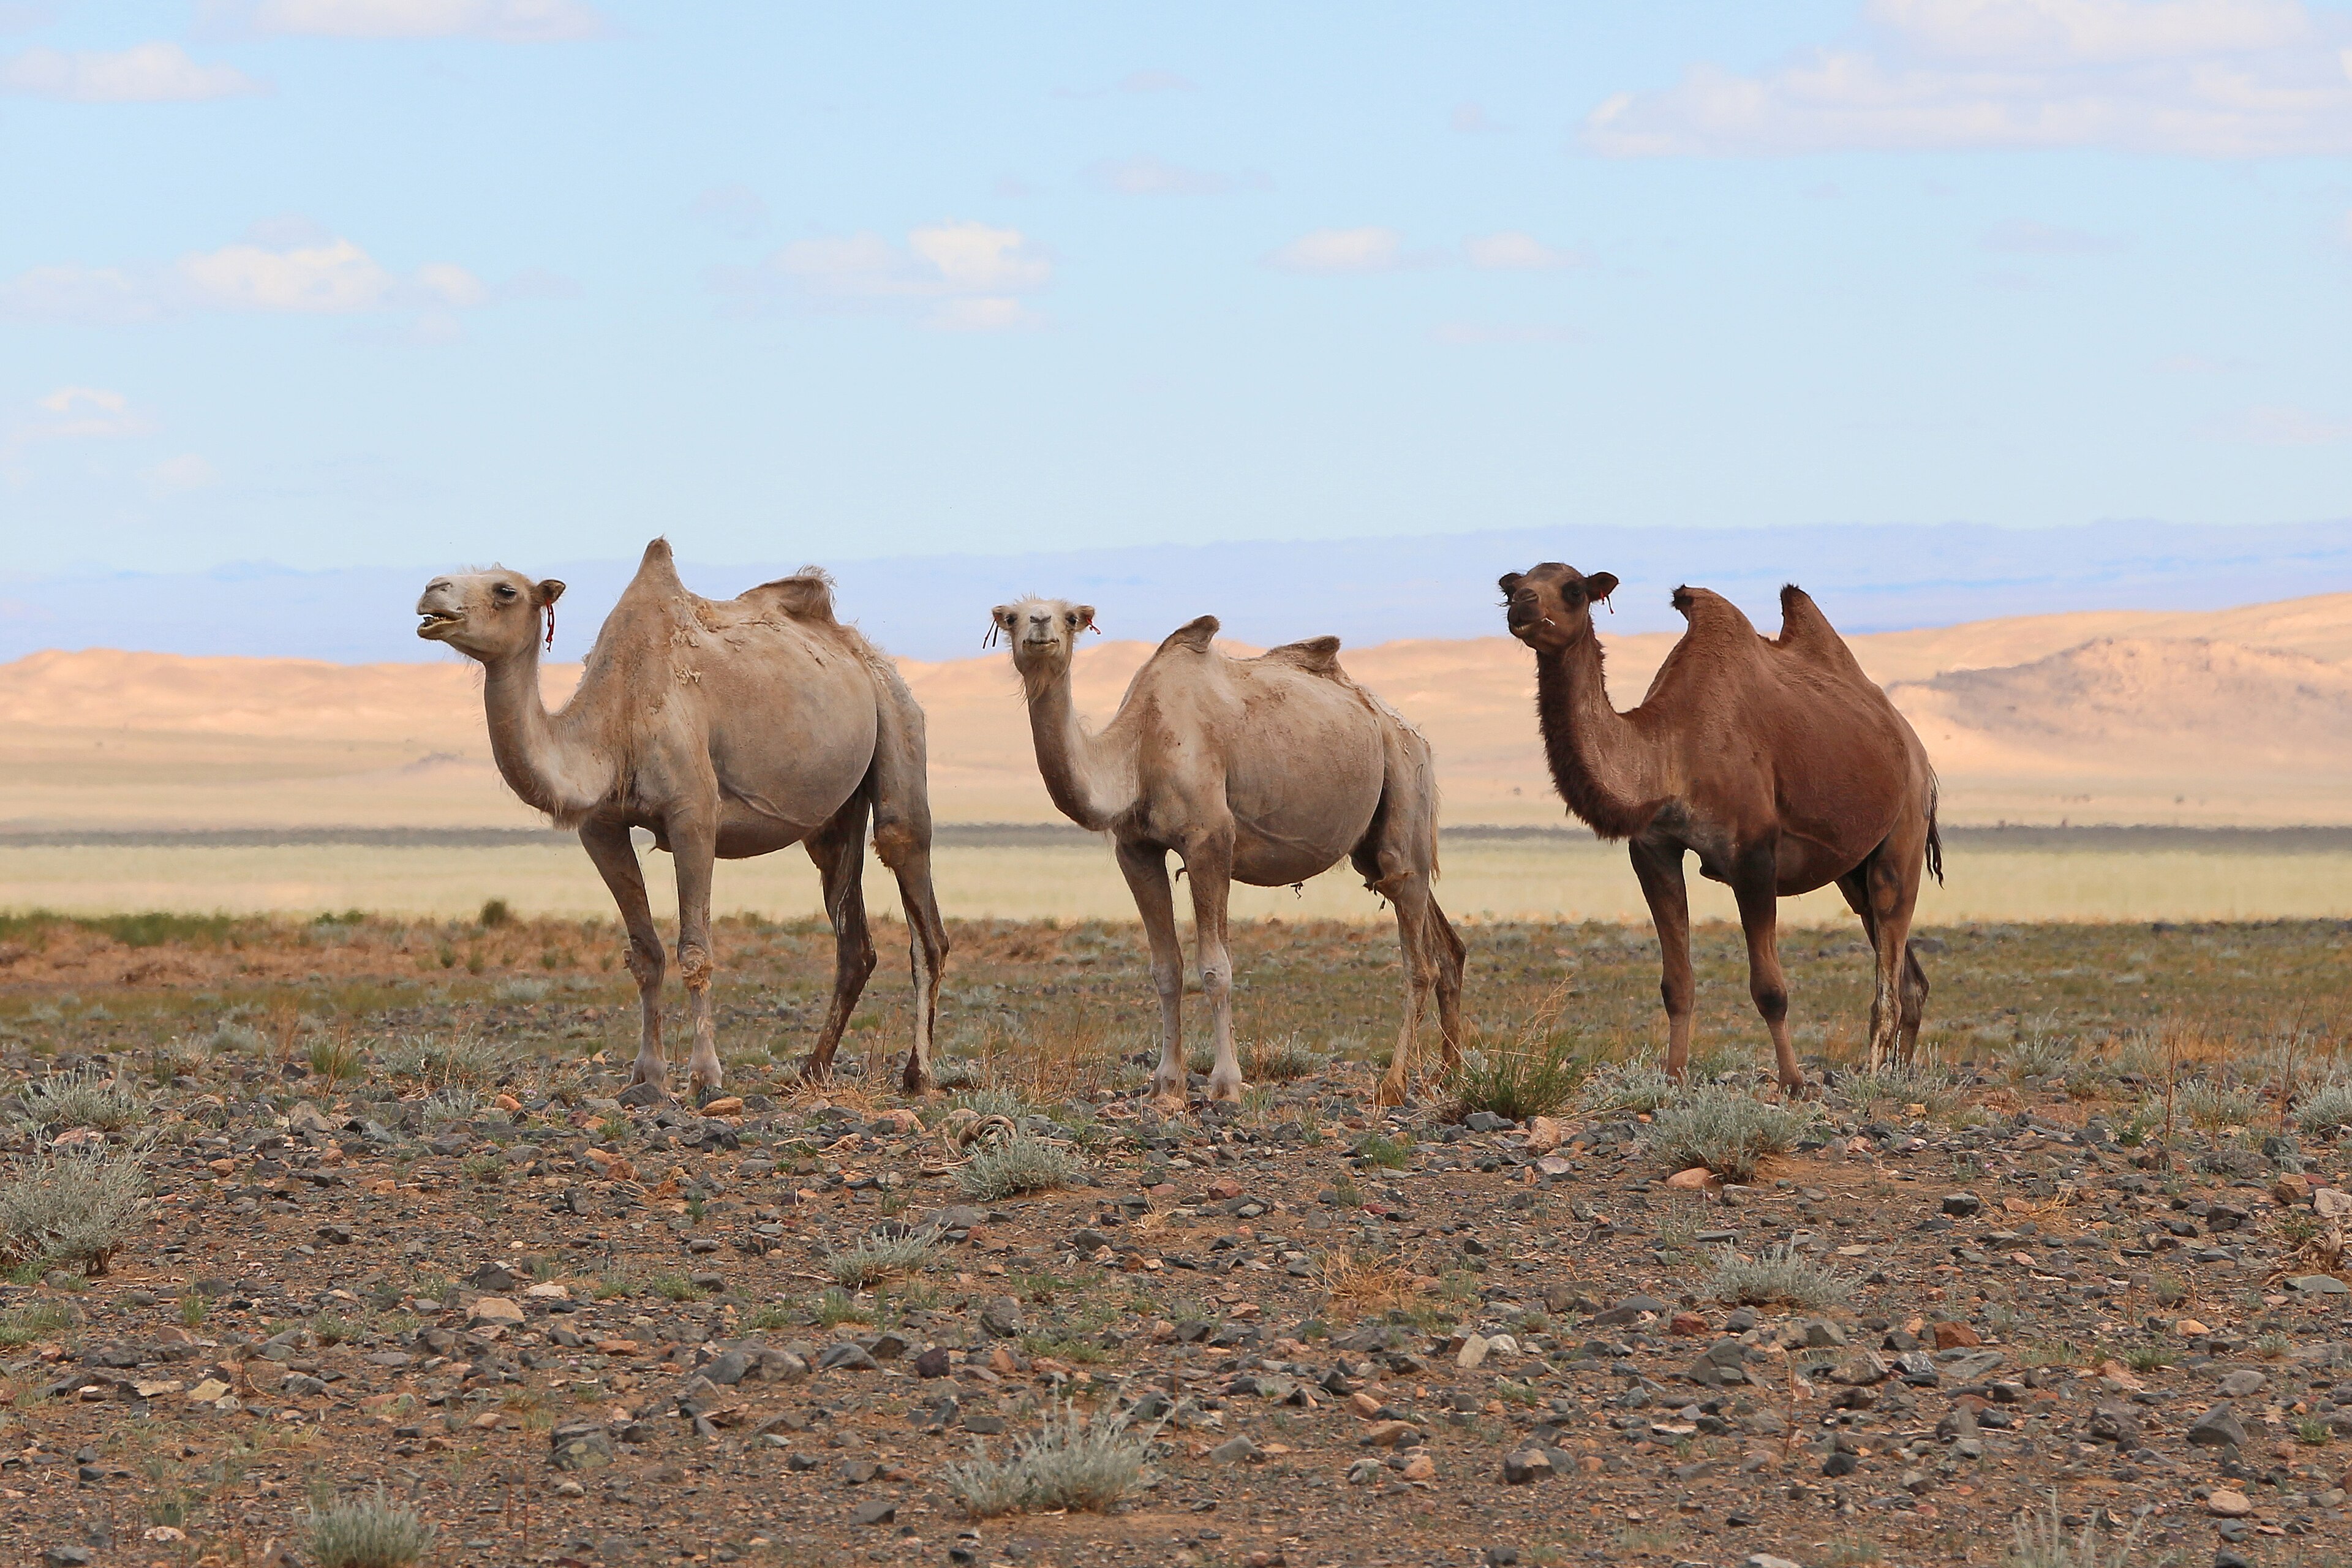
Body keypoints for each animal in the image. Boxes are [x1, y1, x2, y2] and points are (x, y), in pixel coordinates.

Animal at [417, 540, 948, 1102]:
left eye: (505, 590)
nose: (431, 590)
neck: (615, 721)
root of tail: (863, 651)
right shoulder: (601, 828)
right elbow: (645, 954)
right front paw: (646, 1073)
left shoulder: (693, 816)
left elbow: (695, 951)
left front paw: (705, 1075)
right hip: (834, 812)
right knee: (853, 937)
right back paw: (813, 1068)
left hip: (897, 715)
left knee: (911, 872)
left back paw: (918, 1074)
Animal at [989, 599, 1464, 1111]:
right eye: (1011, 618)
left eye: (1070, 618)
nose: (1040, 625)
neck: (1139, 747)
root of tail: (1415, 734)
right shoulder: (1136, 849)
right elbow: (1166, 969)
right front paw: (1166, 1084)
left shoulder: (1210, 841)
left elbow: (1216, 968)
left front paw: (1226, 1084)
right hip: (1371, 845)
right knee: (1444, 945)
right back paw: (1451, 1074)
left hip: (1406, 787)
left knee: (1419, 958)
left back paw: (1395, 1083)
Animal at [1498, 564, 1941, 1088]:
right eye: (1514, 584)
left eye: (1573, 590)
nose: (1522, 604)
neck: (1671, 753)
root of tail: (1913, 745)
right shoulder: (1654, 850)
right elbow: (1677, 984)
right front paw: (1673, 1076)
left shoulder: (1753, 856)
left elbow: (1770, 989)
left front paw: (1793, 1083)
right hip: (1852, 870)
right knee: (1907, 974)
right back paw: (1900, 1072)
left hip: (1904, 827)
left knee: (1890, 945)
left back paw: (1872, 1073)